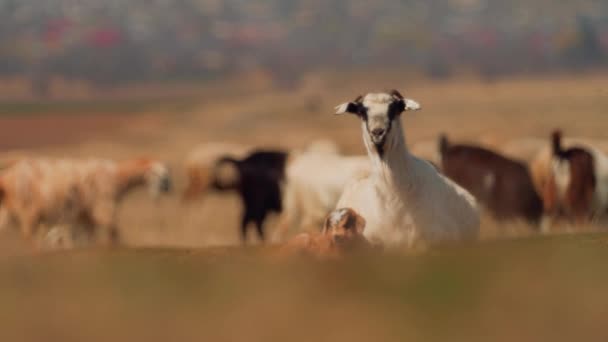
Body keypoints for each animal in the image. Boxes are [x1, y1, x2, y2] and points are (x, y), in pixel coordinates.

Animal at [0, 158, 171, 246]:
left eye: (166, 175)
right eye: (162, 177)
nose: (170, 189)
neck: (117, 178)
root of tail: (6, 179)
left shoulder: (86, 218)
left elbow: (91, 239)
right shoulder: (104, 211)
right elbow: (114, 235)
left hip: (10, 213)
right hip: (28, 213)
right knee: (29, 240)